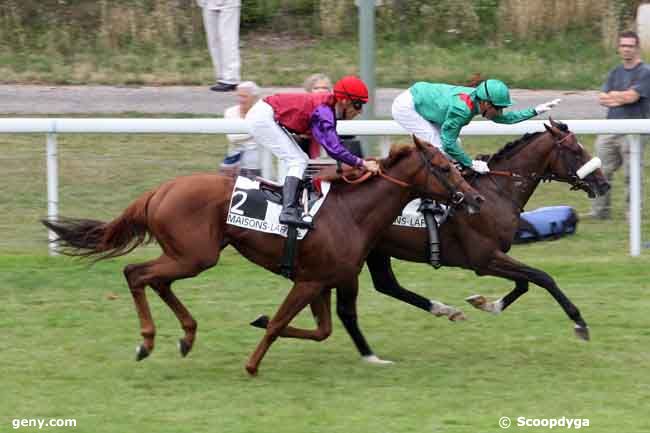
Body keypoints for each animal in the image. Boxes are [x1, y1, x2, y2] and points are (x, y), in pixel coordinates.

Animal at [41, 139, 480, 374]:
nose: (474, 198)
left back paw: (185, 336)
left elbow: (319, 330)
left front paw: (260, 320)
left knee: (155, 280)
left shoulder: (320, 280)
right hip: (194, 256)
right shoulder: (310, 280)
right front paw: (252, 364)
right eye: (443, 167)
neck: (351, 211)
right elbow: (284, 323)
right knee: (136, 273)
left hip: (189, 255)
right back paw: (147, 342)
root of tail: (158, 191)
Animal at [248, 119, 608, 362]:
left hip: (374, 251)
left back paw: (441, 310)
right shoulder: (483, 258)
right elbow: (542, 278)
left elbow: (524, 283)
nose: (603, 184)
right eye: (575, 149)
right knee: (355, 304)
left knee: (386, 286)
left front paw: (485, 303)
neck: (495, 193)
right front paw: (579, 323)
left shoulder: (492, 256)